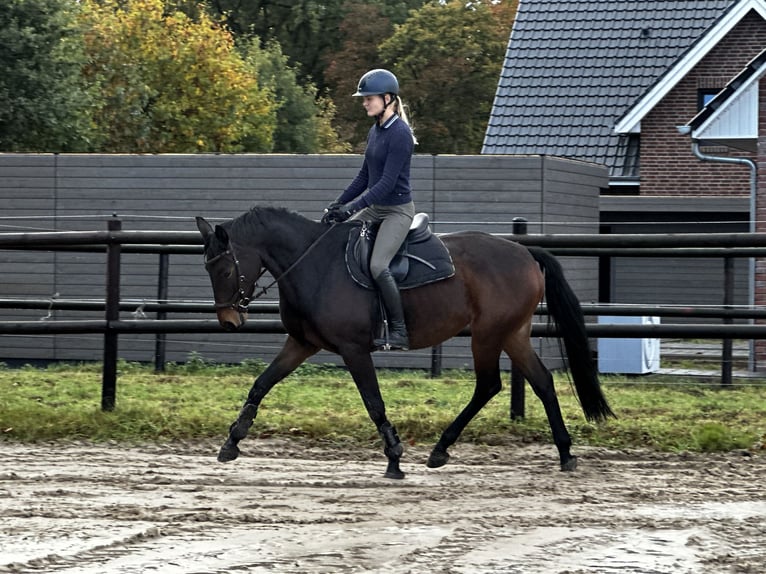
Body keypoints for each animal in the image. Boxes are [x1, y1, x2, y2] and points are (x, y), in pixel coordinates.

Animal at [196, 206, 613, 479]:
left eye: (225, 268)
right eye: (208, 269)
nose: (229, 321)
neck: (314, 264)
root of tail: (525, 251)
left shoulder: (354, 349)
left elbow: (374, 403)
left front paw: (394, 458)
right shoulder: (301, 343)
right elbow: (261, 384)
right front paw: (232, 441)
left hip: (488, 333)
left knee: (489, 385)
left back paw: (442, 449)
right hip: (512, 333)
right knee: (541, 382)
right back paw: (564, 452)